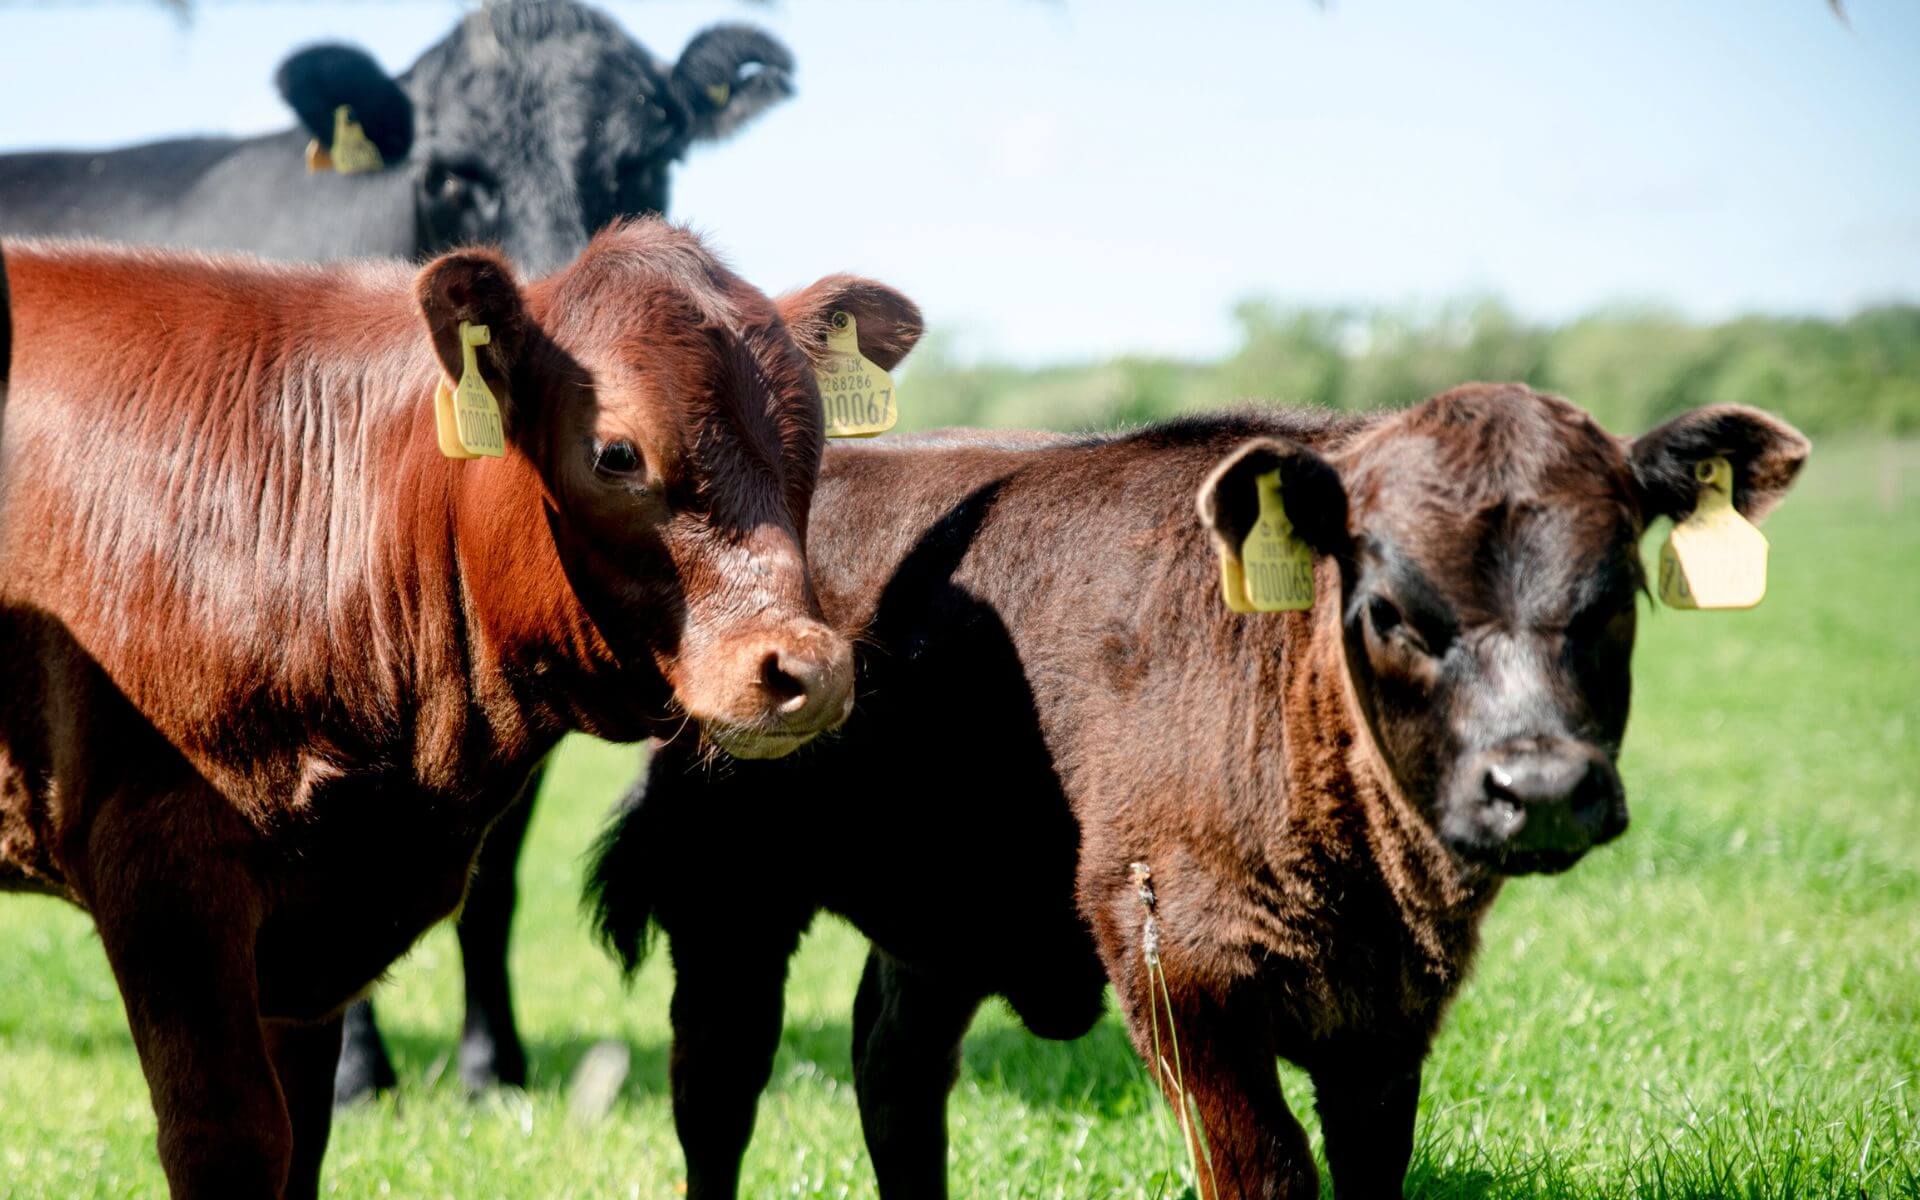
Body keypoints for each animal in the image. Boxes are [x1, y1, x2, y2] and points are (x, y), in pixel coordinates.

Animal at [0, 217, 921, 1198]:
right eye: (616, 453)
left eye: (813, 443)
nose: (810, 668)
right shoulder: (159, 863)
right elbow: (231, 1136)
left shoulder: (315, 933)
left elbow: (304, 1133)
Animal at [583, 385, 1797, 1198]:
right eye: (1389, 609)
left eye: (1616, 596)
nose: (1538, 787)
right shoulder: (1185, 977)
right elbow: (1267, 1170)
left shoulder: (1388, 1019)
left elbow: (1369, 1166)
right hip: (728, 903)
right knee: (719, 1091)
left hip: (938, 928)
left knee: (895, 1077)